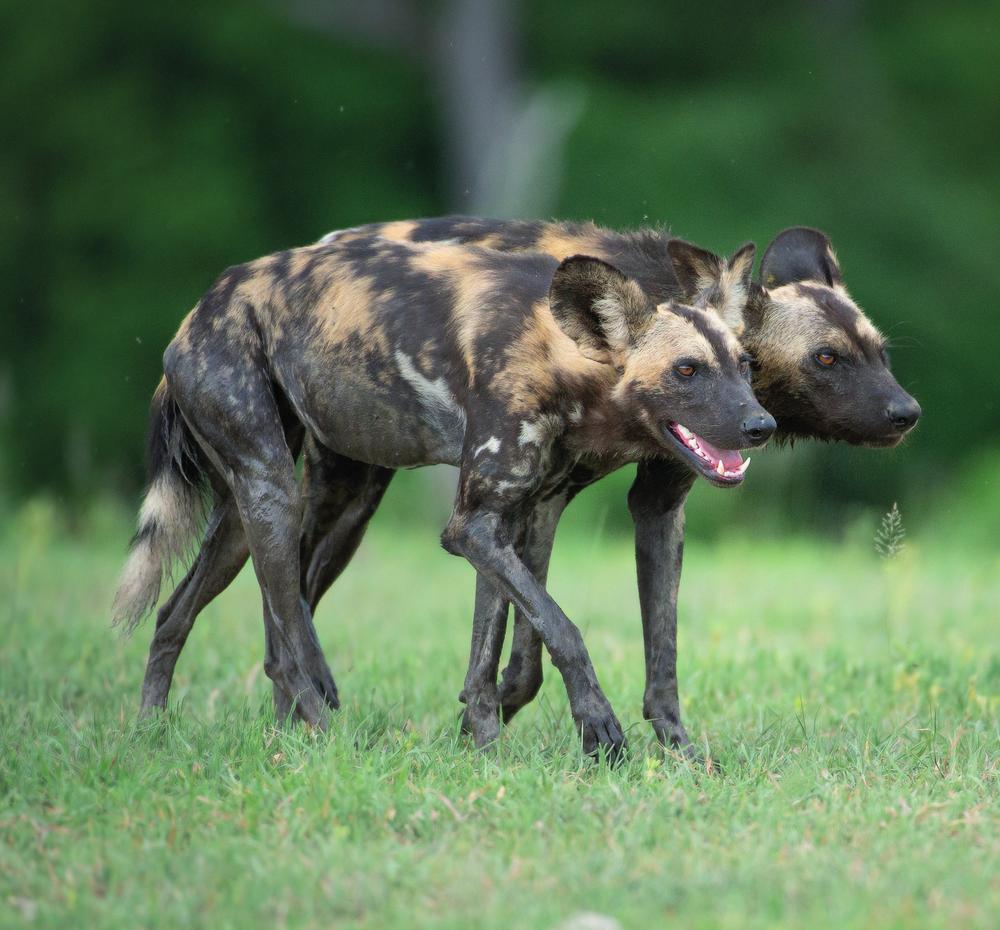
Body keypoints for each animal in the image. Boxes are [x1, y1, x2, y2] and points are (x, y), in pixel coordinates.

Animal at [292, 219, 920, 752]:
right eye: (827, 358)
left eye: (881, 353)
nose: (907, 413)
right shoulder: (530, 501)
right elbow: (534, 633)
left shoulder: (624, 505)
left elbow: (630, 652)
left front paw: (674, 749)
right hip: (344, 498)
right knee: (295, 587)